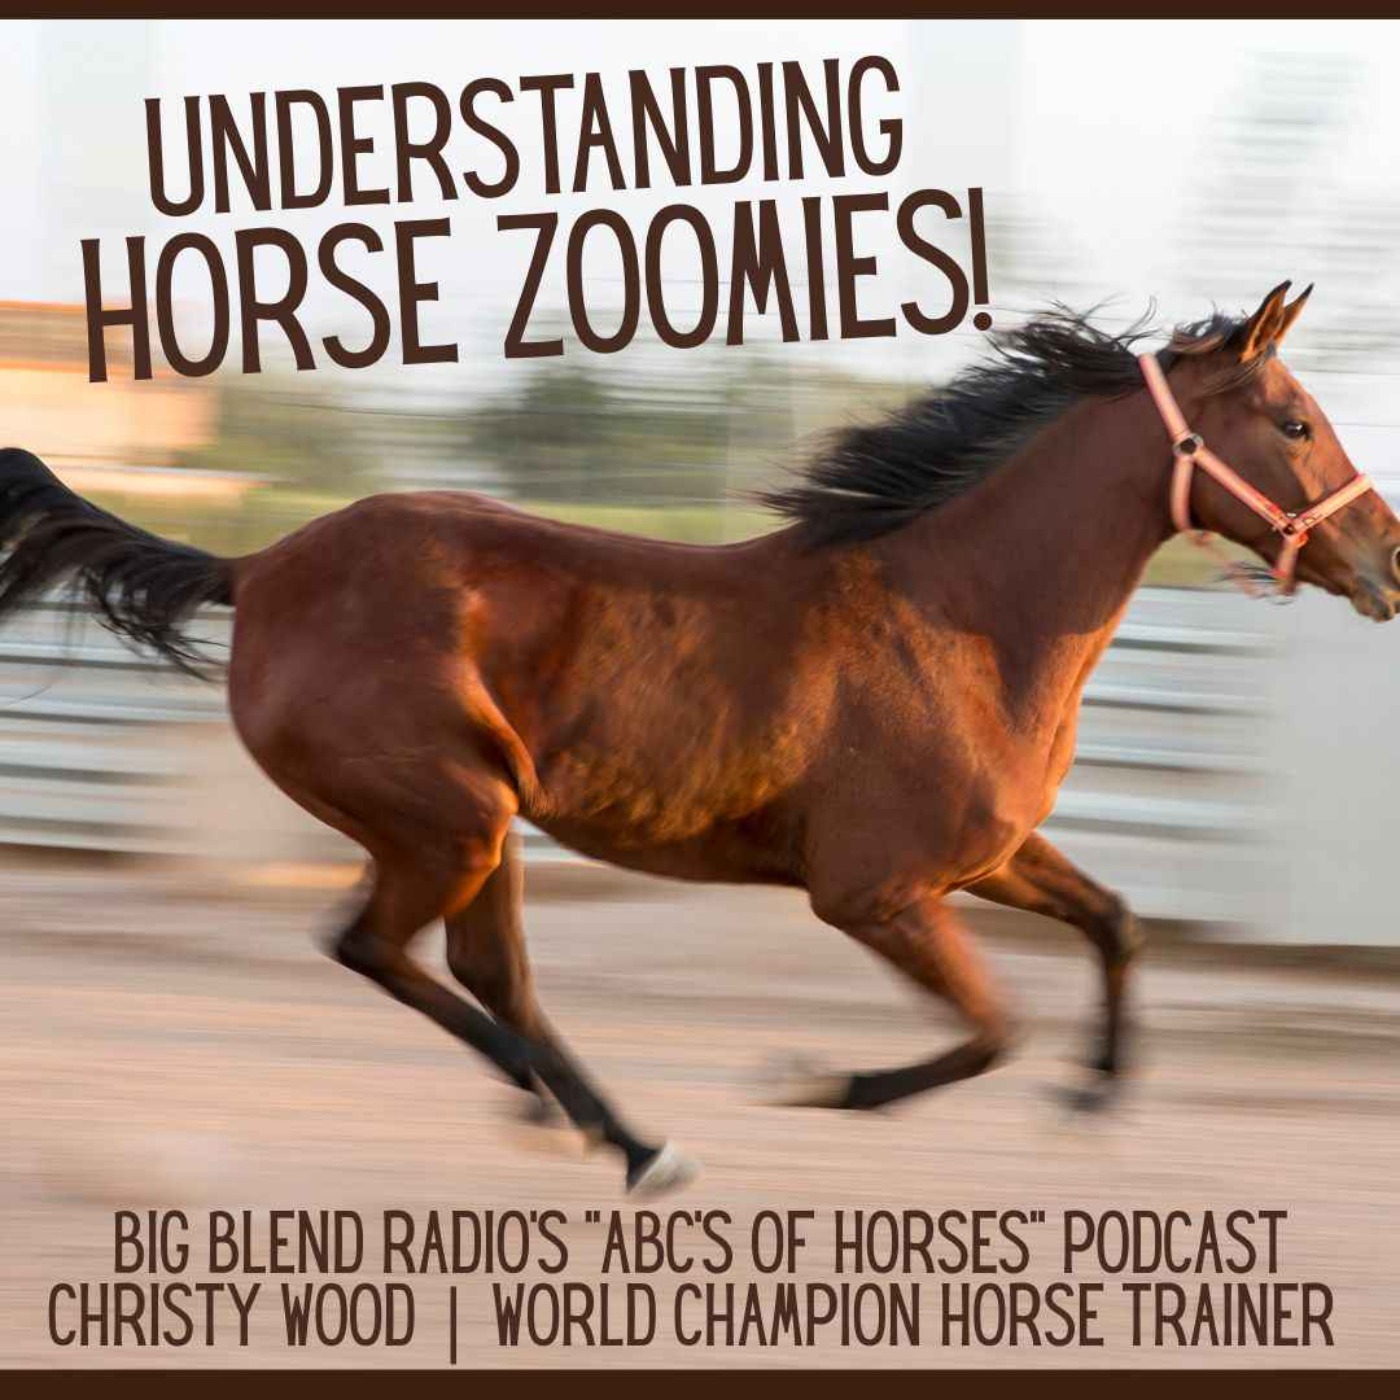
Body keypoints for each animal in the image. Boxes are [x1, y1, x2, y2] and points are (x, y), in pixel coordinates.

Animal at [2, 281, 1396, 1194]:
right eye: (1291, 421)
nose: (1385, 557)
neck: (964, 614)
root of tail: (261, 567)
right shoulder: (875, 890)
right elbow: (992, 1025)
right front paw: (822, 1080)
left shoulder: (989, 854)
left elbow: (1115, 922)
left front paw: (1095, 1093)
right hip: (445, 818)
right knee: (383, 950)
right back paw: (573, 1111)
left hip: (478, 824)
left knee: (483, 968)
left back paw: (611, 1129)